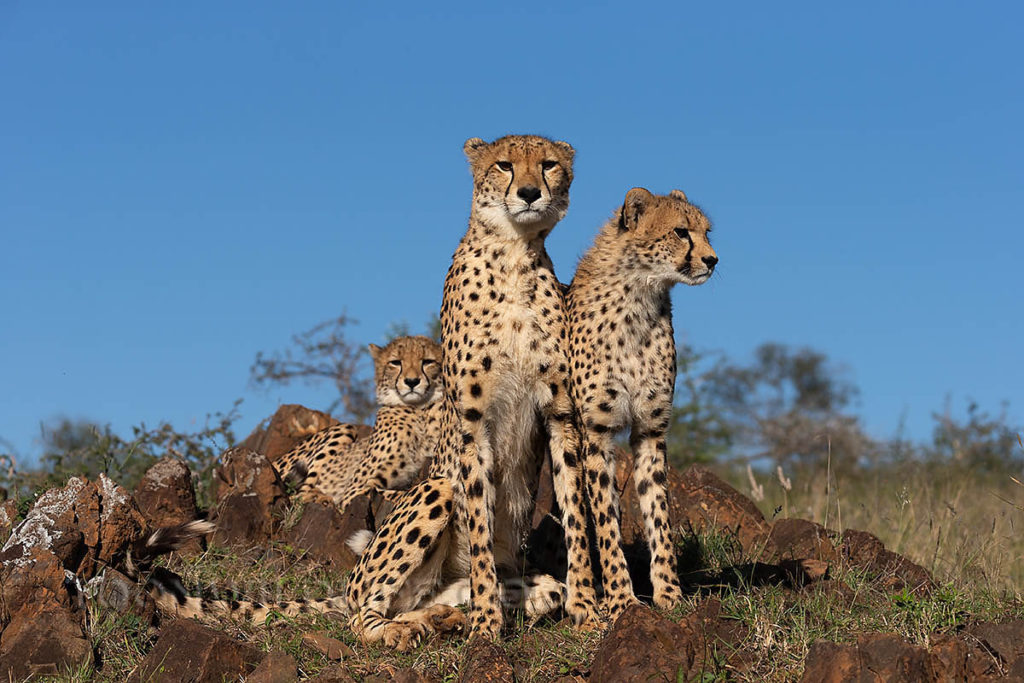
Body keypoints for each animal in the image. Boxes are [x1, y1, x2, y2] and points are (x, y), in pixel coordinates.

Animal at [274, 335, 444, 511]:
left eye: (428, 361)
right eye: (396, 362)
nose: (412, 381)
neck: (418, 411)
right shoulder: (355, 490)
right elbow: (397, 494)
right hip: (344, 427)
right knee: (296, 496)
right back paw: (319, 498)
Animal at [566, 187, 717, 619]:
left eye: (706, 232)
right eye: (681, 232)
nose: (712, 259)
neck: (640, 296)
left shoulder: (651, 431)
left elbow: (658, 513)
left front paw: (669, 594)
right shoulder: (596, 433)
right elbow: (604, 522)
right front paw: (622, 600)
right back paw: (584, 601)